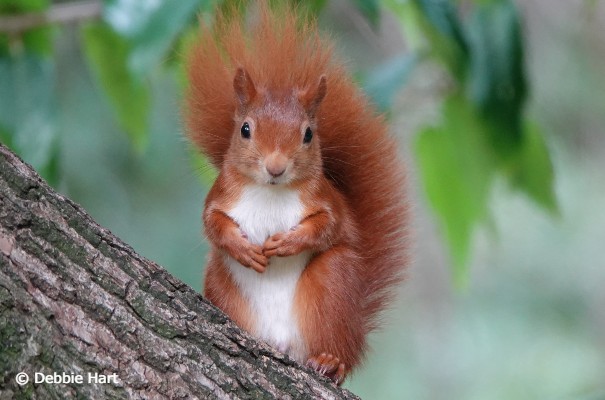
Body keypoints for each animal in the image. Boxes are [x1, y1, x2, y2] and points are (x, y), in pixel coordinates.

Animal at [185, 3, 406, 384]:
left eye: (308, 135)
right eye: (245, 129)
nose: (276, 167)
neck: (271, 192)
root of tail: (282, 343)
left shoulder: (327, 201)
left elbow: (328, 226)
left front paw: (287, 243)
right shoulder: (221, 195)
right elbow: (211, 223)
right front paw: (243, 248)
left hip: (333, 284)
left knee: (339, 348)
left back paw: (331, 361)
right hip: (222, 284)